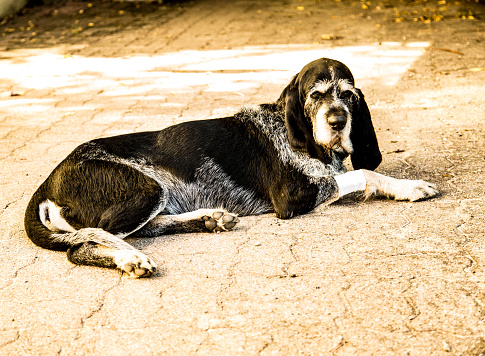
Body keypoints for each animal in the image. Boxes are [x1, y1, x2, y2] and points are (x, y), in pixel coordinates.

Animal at [24, 57, 436, 276]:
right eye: (316, 95)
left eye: (348, 95)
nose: (338, 122)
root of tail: (48, 181)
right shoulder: (293, 195)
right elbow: (363, 173)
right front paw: (410, 185)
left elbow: (358, 172)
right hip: (146, 189)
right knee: (85, 242)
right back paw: (130, 258)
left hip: (155, 195)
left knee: (143, 228)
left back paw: (209, 219)